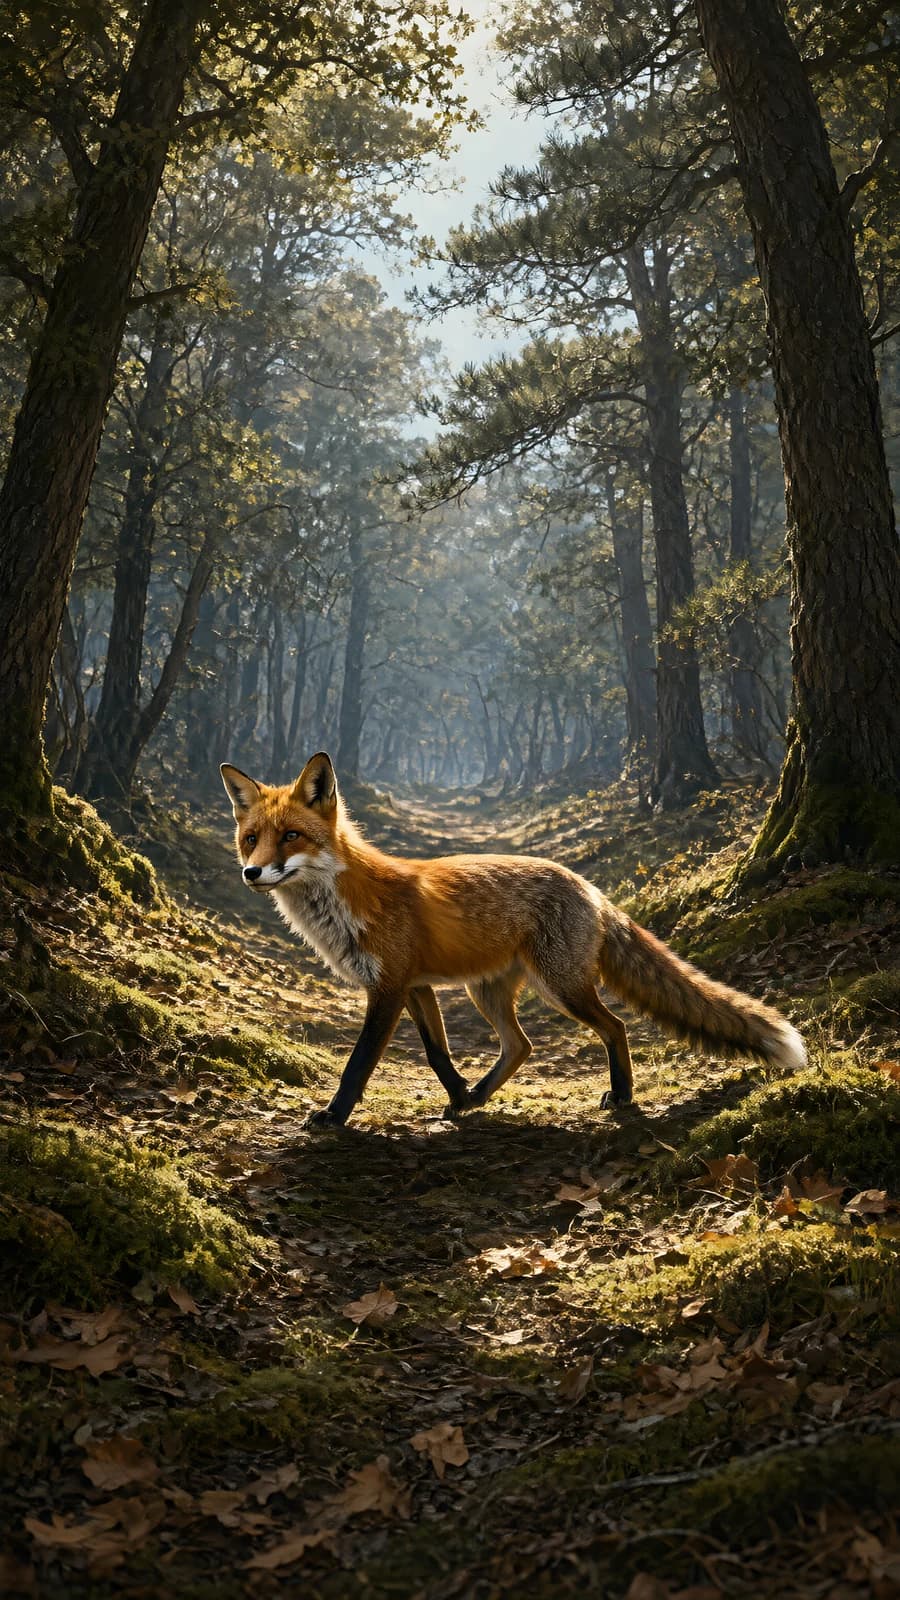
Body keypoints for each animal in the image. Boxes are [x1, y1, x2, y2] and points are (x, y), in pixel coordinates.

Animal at [220, 752, 806, 1128]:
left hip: (560, 986)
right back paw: (481, 1093)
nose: (251, 873)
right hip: (487, 991)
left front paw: (334, 1116)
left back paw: (621, 1095)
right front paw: (460, 1095)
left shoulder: (387, 988)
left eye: (290, 836)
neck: (349, 900)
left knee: (614, 1027)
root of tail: (591, 887)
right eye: (251, 839)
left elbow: (358, 1063)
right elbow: (437, 1052)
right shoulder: (416, 986)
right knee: (520, 1045)